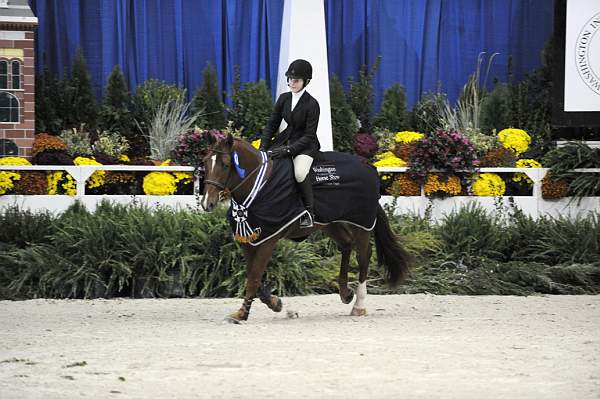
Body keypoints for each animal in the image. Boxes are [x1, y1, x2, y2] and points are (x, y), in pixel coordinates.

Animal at [202, 133, 412, 324]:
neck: (259, 186)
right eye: (205, 163)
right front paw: (276, 303)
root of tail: (367, 165)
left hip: (361, 222)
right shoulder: (249, 239)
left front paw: (241, 314)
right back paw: (345, 293)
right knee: (346, 244)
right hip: (329, 222)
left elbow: (253, 278)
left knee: (364, 255)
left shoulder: (268, 240)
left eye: (226, 164)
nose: (207, 203)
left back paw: (358, 305)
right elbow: (254, 276)